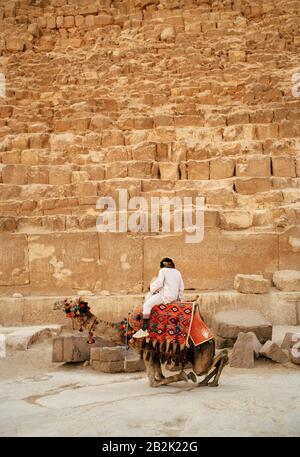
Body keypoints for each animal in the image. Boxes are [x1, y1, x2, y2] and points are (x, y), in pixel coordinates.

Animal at [52, 296, 229, 388]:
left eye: (68, 302)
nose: (54, 304)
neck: (126, 329)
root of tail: (209, 333)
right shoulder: (154, 352)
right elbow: (158, 376)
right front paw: (180, 376)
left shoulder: (147, 351)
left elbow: (153, 382)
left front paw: (185, 375)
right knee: (222, 356)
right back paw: (207, 381)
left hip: (202, 351)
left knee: (216, 359)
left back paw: (208, 381)